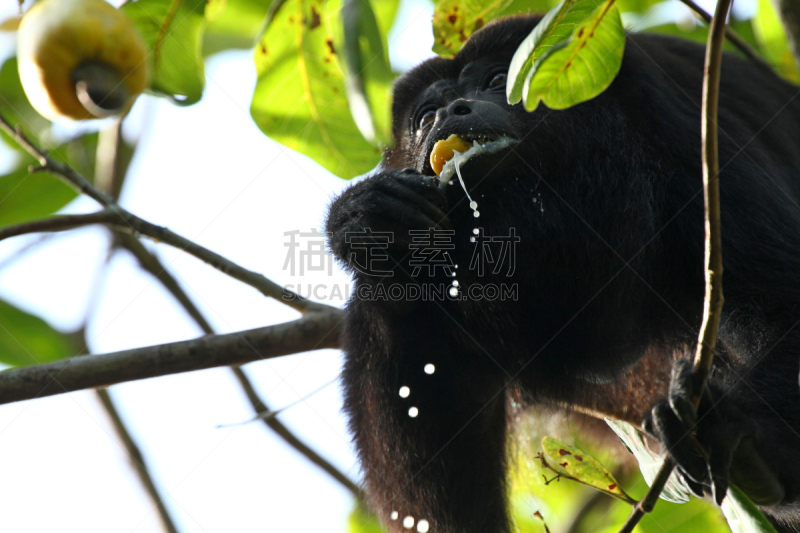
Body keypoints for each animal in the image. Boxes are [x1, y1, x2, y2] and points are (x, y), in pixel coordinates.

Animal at [324, 14, 800, 528]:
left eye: (498, 80)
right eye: (426, 117)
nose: (452, 110)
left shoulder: (681, 133)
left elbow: (775, 298)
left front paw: (745, 435)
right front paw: (365, 216)